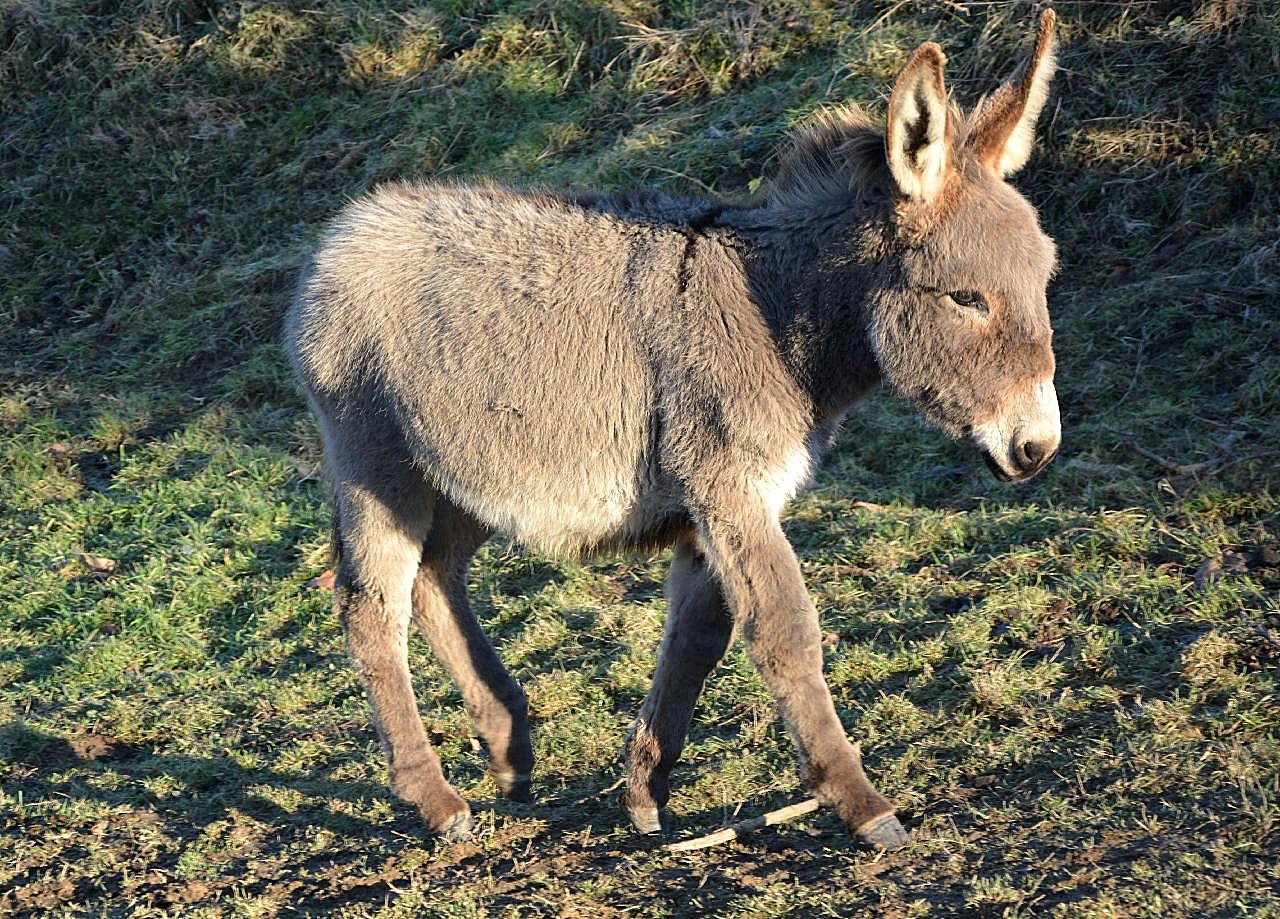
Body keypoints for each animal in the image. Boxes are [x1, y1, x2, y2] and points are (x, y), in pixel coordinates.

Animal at [288, 10, 1059, 855]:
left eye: (1044, 280)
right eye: (966, 298)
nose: (1038, 448)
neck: (775, 311)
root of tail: (342, 232)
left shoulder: (723, 504)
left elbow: (699, 636)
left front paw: (645, 793)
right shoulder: (728, 486)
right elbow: (784, 631)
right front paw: (862, 804)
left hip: (462, 471)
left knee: (434, 577)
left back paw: (510, 750)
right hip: (375, 461)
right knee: (370, 605)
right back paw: (435, 800)